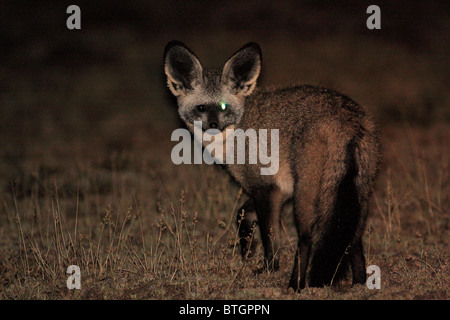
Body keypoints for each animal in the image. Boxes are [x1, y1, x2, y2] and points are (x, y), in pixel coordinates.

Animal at [163, 41, 380, 292]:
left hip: (307, 199)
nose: (214, 125)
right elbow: (242, 213)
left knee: (307, 239)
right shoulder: (277, 190)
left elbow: (269, 237)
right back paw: (359, 283)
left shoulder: (266, 189)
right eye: (201, 108)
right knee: (353, 240)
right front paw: (247, 249)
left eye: (224, 107)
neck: (238, 128)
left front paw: (269, 267)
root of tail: (346, 119)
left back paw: (296, 285)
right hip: (357, 197)